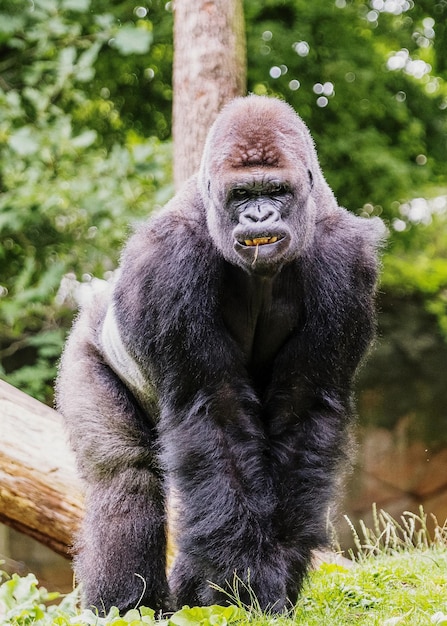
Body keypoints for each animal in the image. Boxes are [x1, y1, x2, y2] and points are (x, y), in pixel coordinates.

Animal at [56, 95, 384, 612]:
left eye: (275, 191)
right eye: (241, 195)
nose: (258, 218)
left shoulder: (346, 263)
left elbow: (303, 410)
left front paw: (273, 574)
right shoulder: (167, 261)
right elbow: (213, 410)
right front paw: (244, 579)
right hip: (85, 352)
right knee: (125, 478)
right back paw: (128, 606)